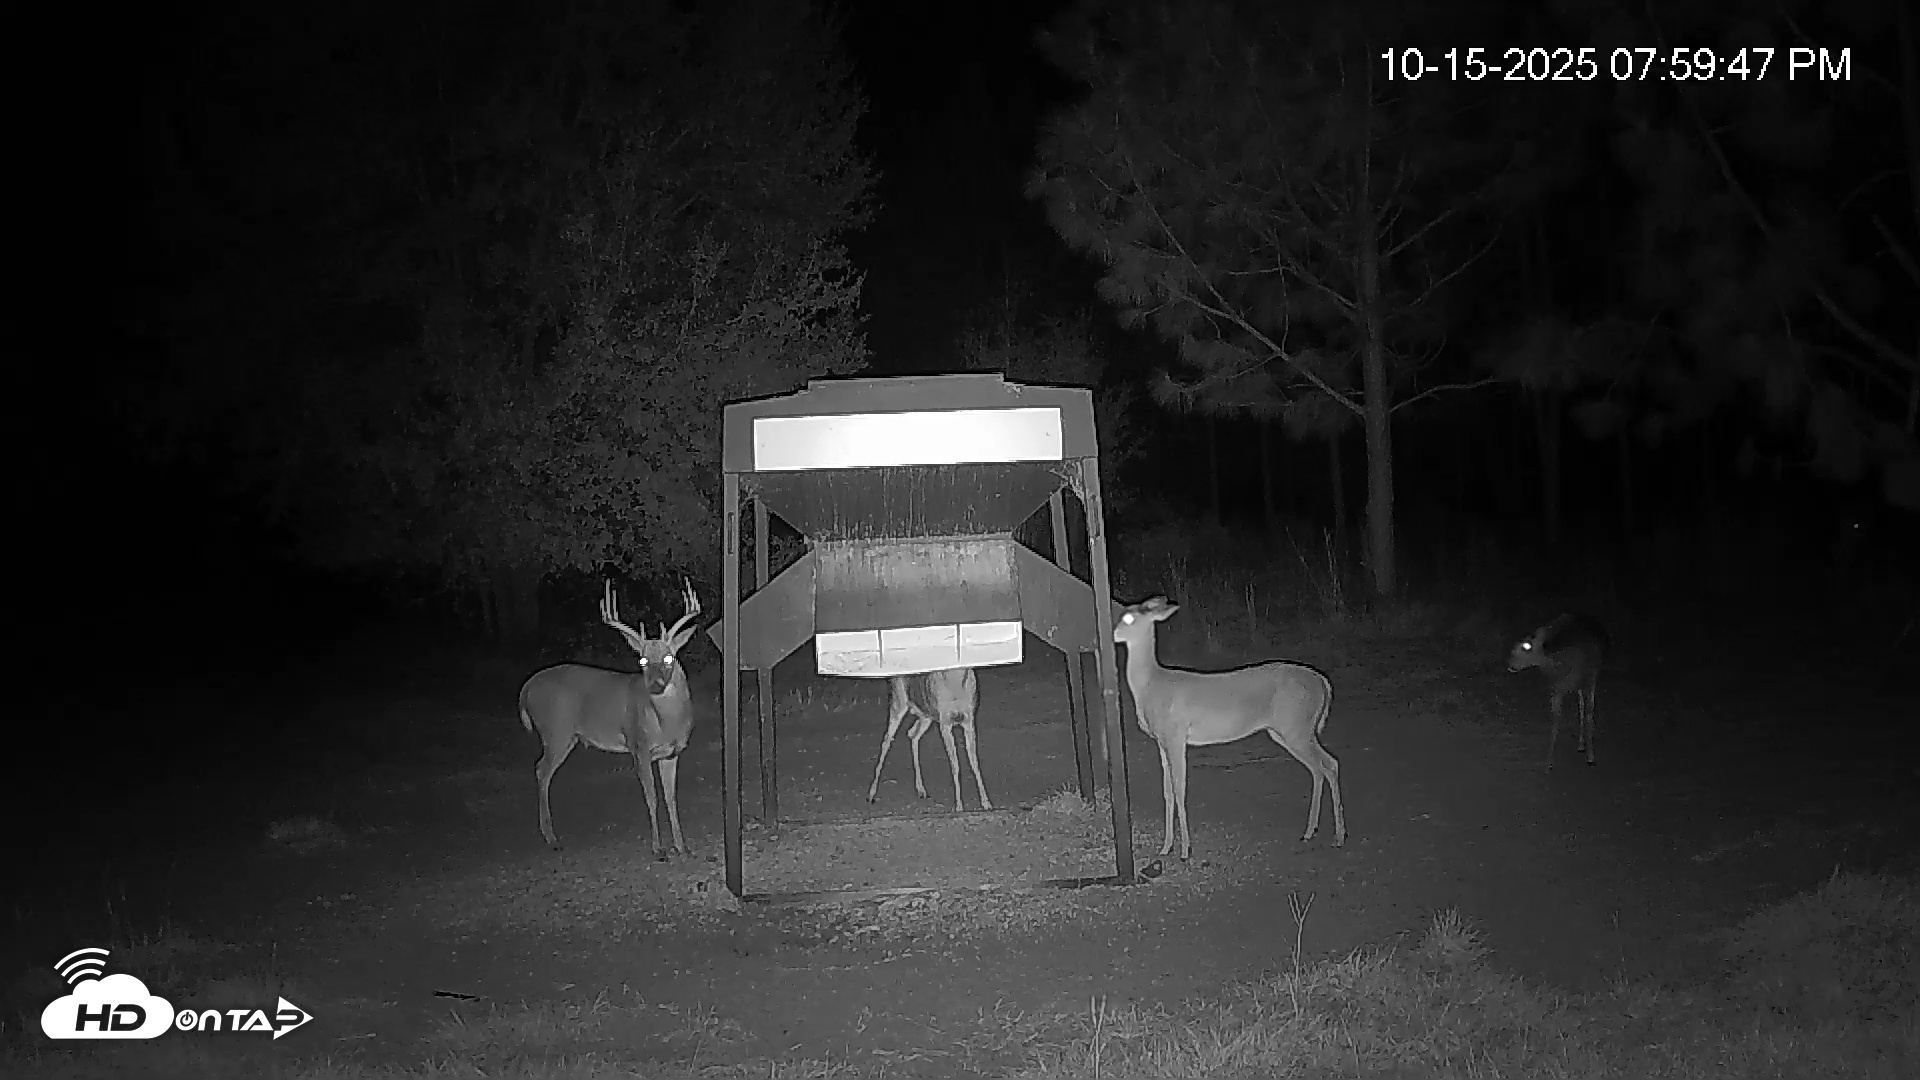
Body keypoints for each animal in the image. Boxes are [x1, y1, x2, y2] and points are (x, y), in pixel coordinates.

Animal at [518, 578, 701, 856]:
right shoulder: (638, 746)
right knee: (541, 770)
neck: (665, 722)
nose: (655, 685)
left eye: (669, 658)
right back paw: (551, 838)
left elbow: (671, 798)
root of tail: (526, 688)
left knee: (542, 770)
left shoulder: (671, 753)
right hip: (555, 730)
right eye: (642, 660)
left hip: (568, 736)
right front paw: (657, 848)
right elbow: (652, 797)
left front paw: (682, 846)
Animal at [865, 667, 992, 812]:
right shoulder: (945, 722)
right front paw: (959, 806)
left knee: (912, 734)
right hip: (899, 702)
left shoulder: (969, 720)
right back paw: (871, 794)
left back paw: (921, 789)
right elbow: (955, 765)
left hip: (926, 715)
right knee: (886, 741)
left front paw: (986, 803)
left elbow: (975, 763)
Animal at [1113, 596, 1345, 861]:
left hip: (1298, 727)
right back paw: (1310, 832)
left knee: (1330, 764)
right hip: (1287, 731)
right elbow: (1167, 792)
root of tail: (1323, 682)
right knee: (1319, 768)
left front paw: (1185, 851)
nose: (1114, 634)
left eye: (1128, 618)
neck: (1152, 685)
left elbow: (1180, 789)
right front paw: (1165, 847)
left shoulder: (1176, 734)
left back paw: (1338, 836)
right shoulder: (1161, 740)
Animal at [1505, 613, 1608, 769]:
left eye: (1527, 647)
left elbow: (1590, 715)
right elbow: (1555, 722)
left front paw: (1591, 757)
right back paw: (1580, 744)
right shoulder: (1556, 689)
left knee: (1584, 708)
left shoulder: (1590, 680)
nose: (1510, 665)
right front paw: (1548, 762)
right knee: (1580, 706)